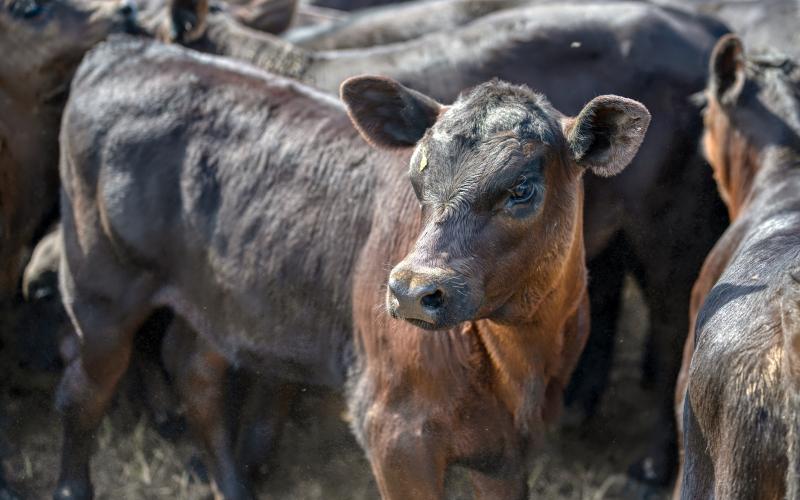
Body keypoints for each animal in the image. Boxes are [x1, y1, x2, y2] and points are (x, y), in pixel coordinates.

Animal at [53, 35, 649, 499]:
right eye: (416, 178)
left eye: (523, 189)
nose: (412, 292)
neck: (518, 362)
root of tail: (128, 49)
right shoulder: (395, 433)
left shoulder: (507, 452)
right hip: (101, 289)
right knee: (84, 385)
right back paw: (71, 487)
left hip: (213, 294)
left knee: (194, 369)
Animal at [152, 0, 731, 485]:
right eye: (416, 177)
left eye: (523, 188)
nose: (412, 292)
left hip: (673, 230)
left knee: (672, 329)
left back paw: (654, 464)